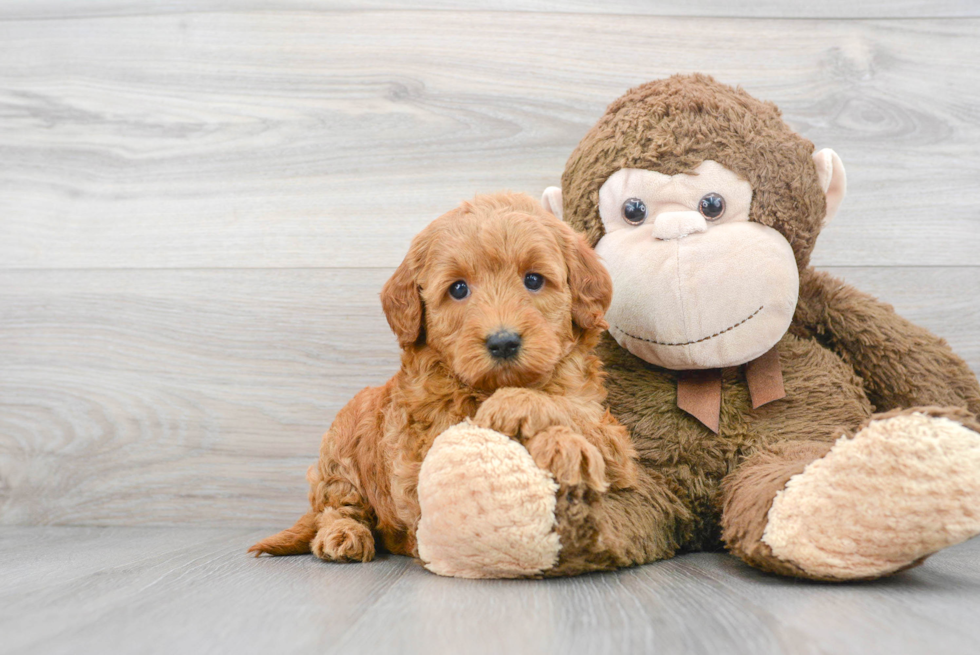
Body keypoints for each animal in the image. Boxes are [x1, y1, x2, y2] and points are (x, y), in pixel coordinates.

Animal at [249, 191, 640, 564]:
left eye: (533, 280)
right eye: (458, 289)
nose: (503, 342)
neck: (484, 388)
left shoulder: (611, 441)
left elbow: (584, 425)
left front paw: (558, 444)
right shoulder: (418, 447)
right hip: (343, 443)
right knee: (337, 505)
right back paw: (344, 535)